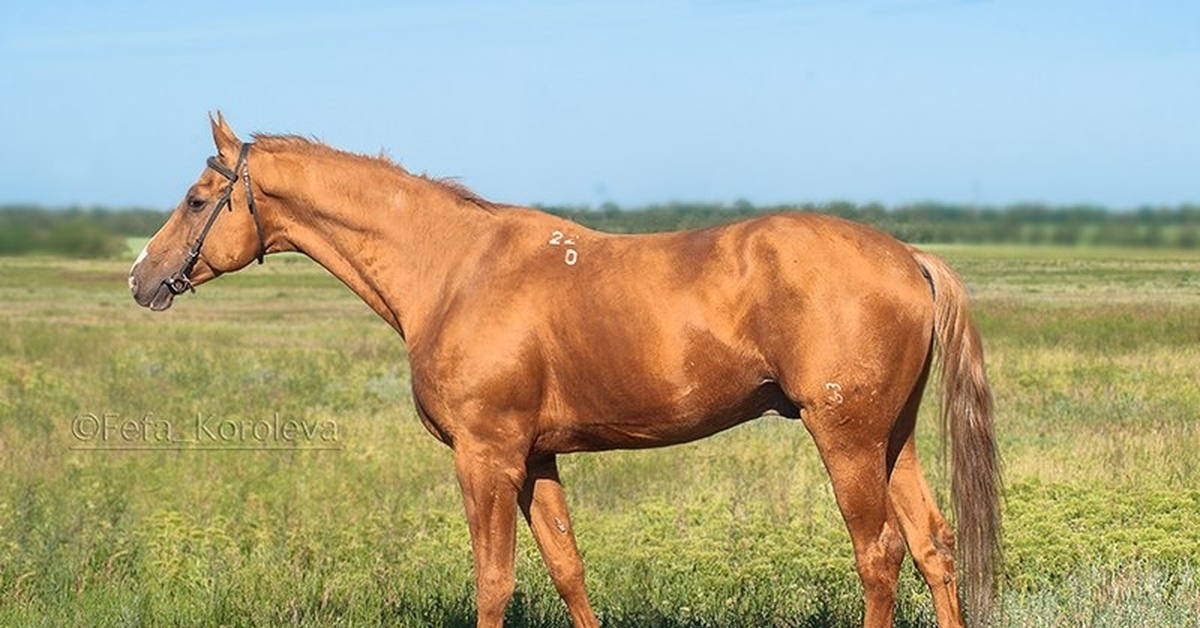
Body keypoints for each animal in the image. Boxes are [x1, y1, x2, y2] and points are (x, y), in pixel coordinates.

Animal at [129, 114, 1003, 628]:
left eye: (197, 196)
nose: (142, 277)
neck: (454, 268)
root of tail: (910, 258)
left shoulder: (485, 457)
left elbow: (493, 582)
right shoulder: (536, 459)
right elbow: (566, 569)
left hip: (845, 439)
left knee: (880, 556)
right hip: (891, 438)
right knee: (933, 546)